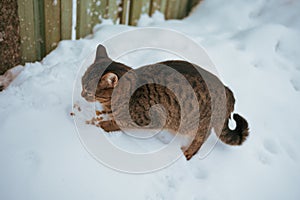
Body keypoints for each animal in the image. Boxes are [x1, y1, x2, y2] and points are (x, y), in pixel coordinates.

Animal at [81, 44, 248, 160]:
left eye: (88, 90)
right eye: (82, 83)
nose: (82, 94)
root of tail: (226, 89)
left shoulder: (151, 119)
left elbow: (118, 123)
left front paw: (101, 124)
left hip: (198, 123)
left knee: (200, 139)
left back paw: (188, 153)